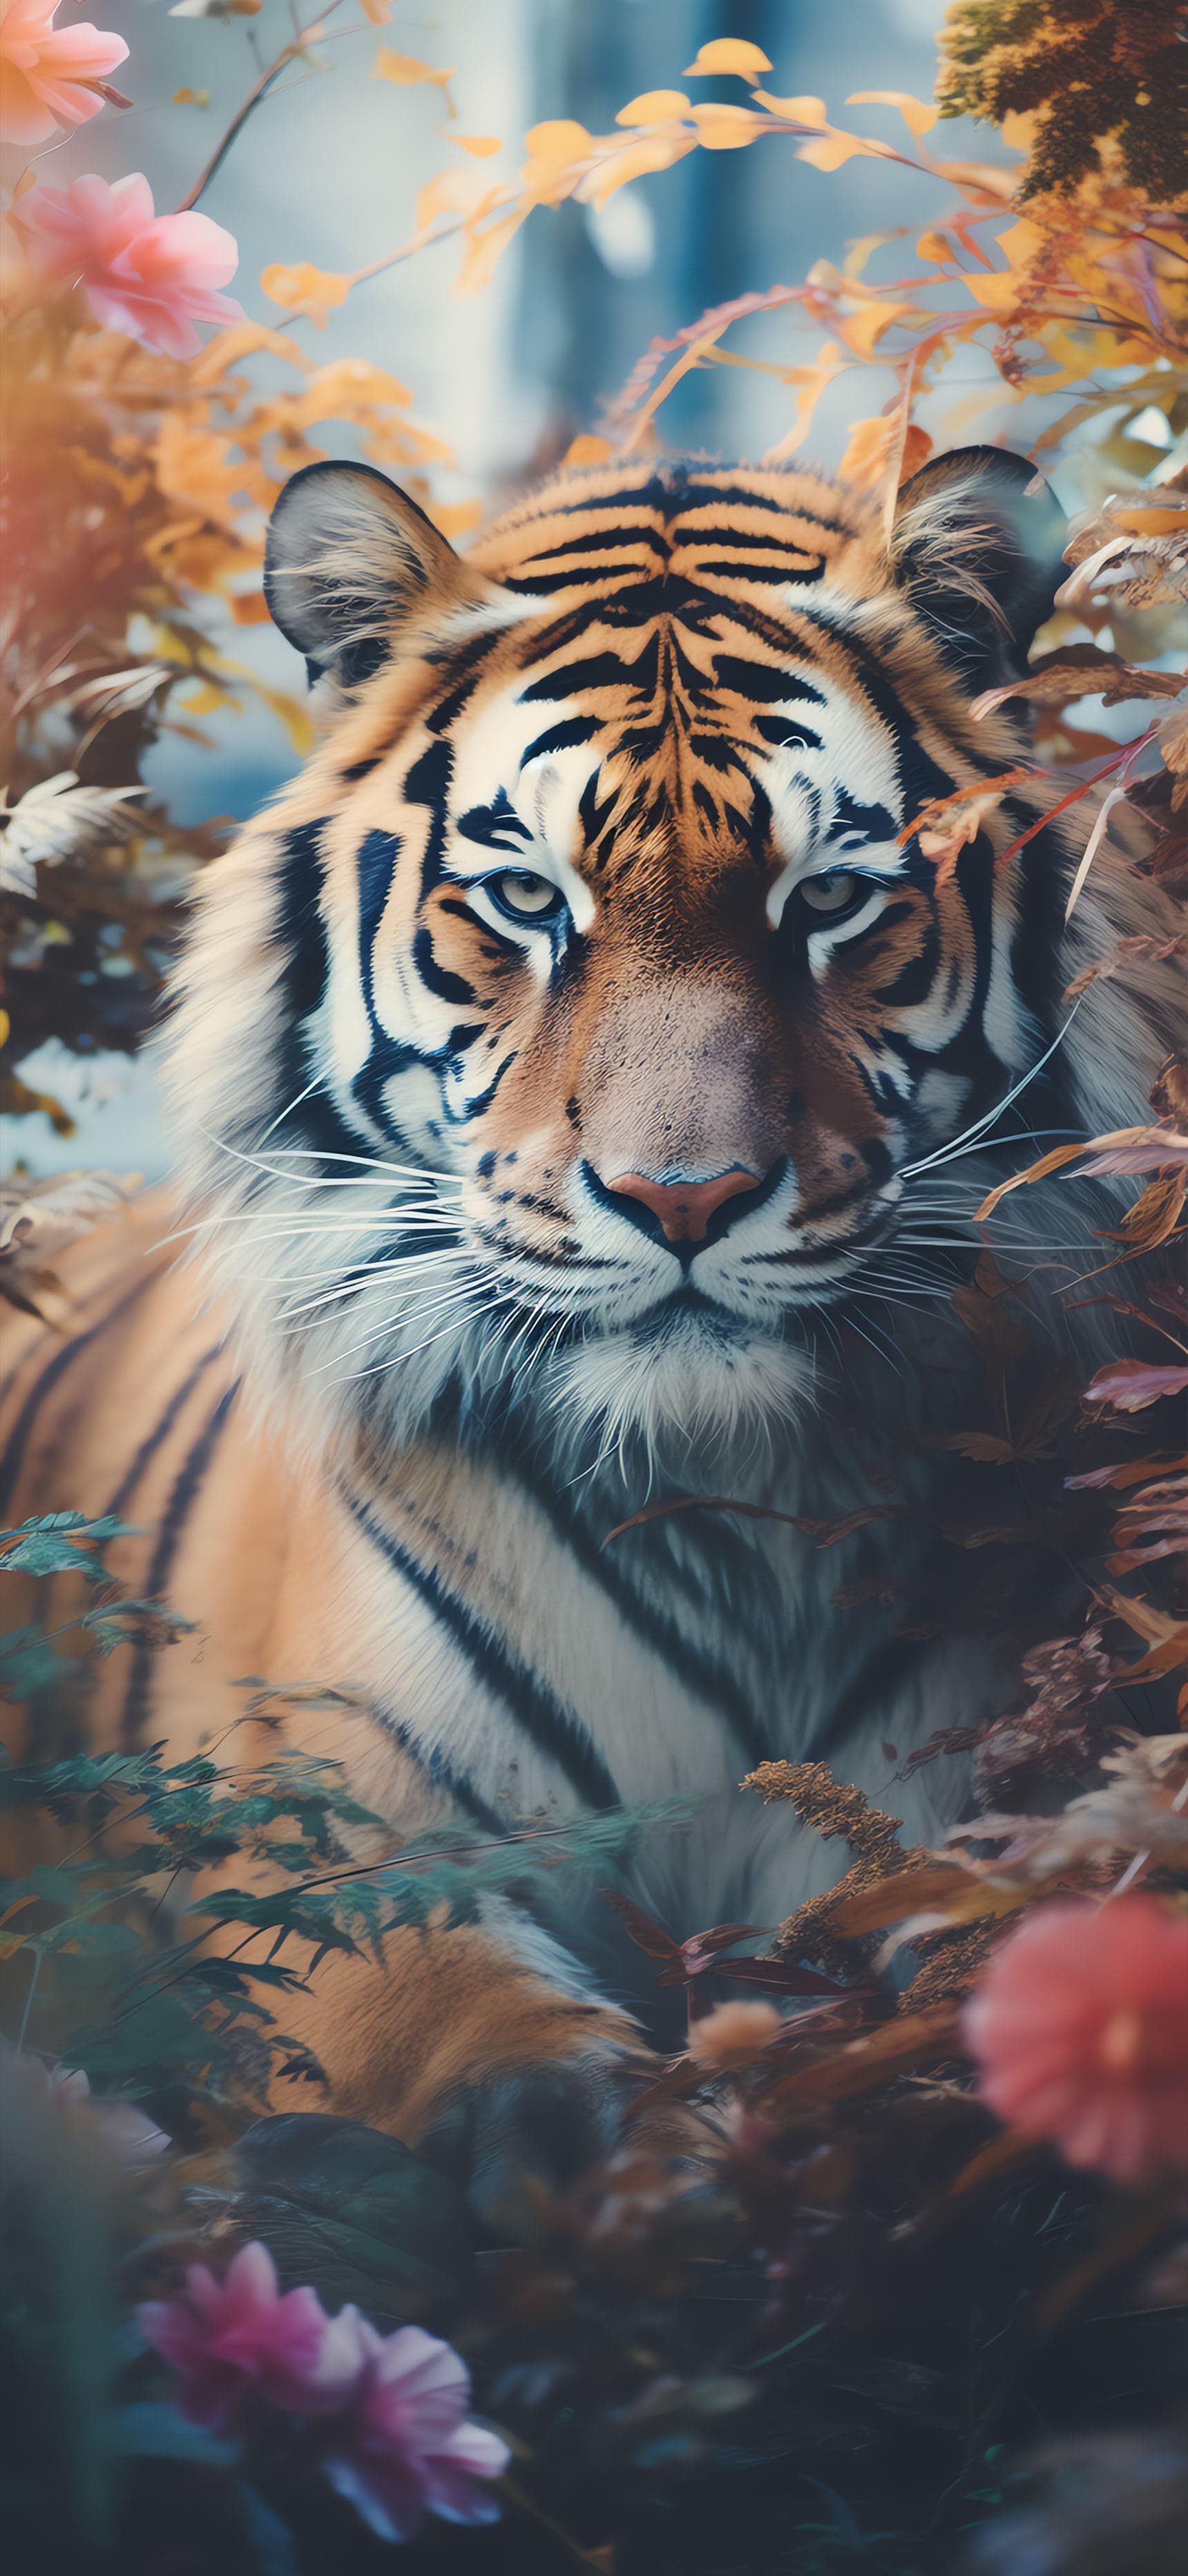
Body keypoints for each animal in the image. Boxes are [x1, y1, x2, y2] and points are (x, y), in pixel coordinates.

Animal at [3, 446, 1181, 2210]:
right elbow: (435, 2014)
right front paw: (573, 2146)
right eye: (520, 898)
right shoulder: (327, 1839)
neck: (726, 1512)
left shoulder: (939, 1829)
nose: (680, 1198)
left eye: (830, 899)